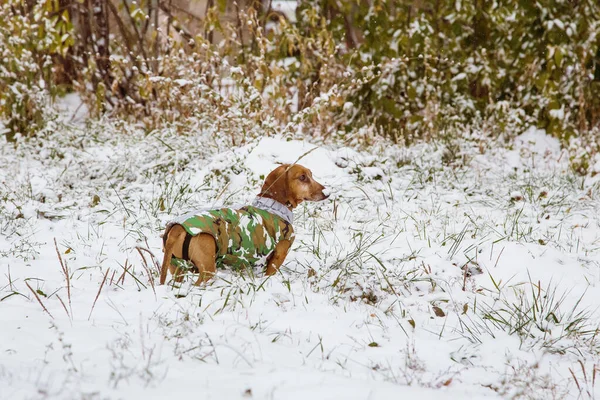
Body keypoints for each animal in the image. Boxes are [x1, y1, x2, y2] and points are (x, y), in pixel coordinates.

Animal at [159, 164, 328, 286]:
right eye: (302, 177)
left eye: (311, 174)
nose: (327, 193)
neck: (273, 207)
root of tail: (177, 227)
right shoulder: (277, 257)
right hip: (207, 271)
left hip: (178, 270)